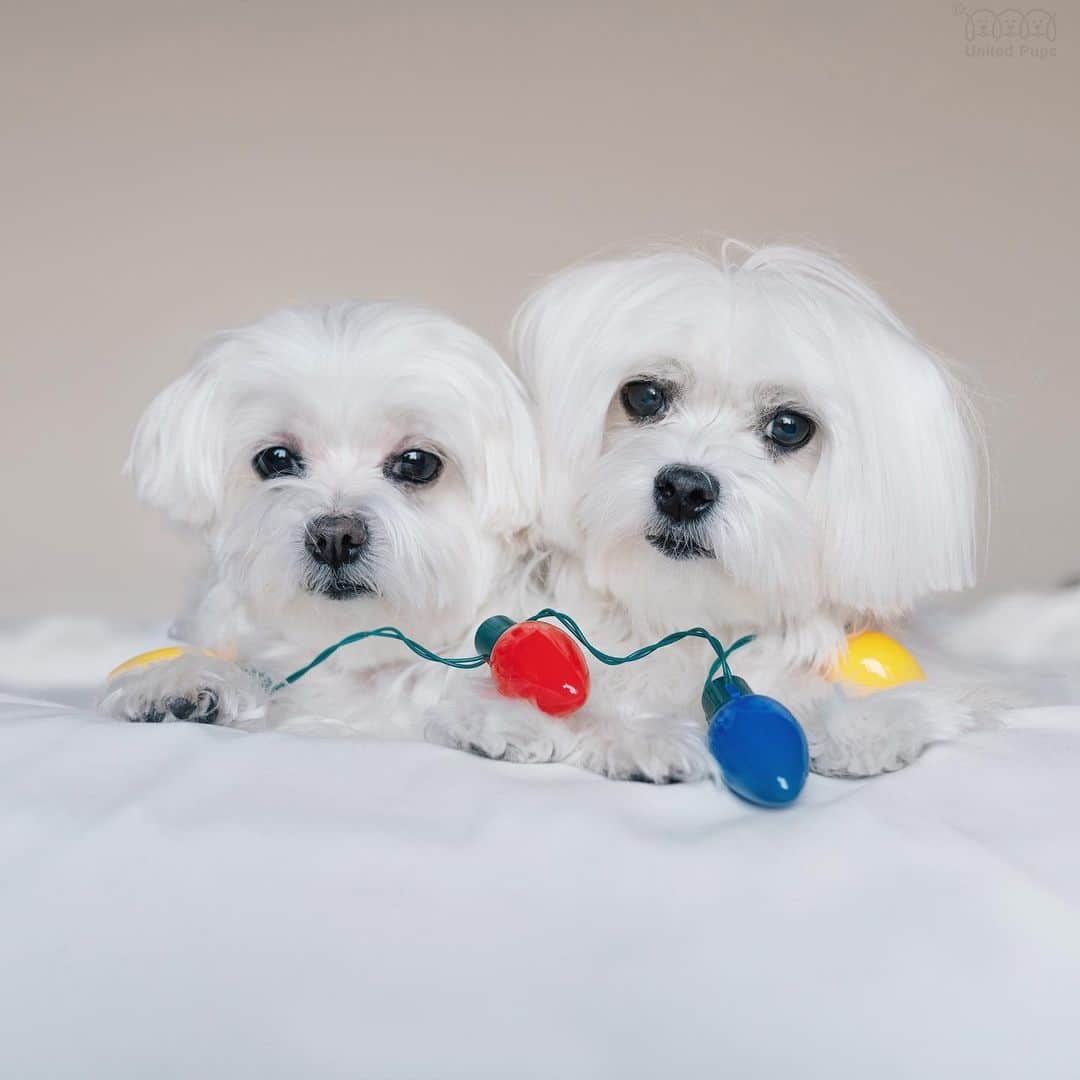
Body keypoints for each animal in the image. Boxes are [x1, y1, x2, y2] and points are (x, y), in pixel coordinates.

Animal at [496, 243, 993, 786]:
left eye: (790, 427)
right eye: (645, 396)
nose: (684, 489)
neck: (698, 614)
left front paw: (861, 725)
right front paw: (640, 733)